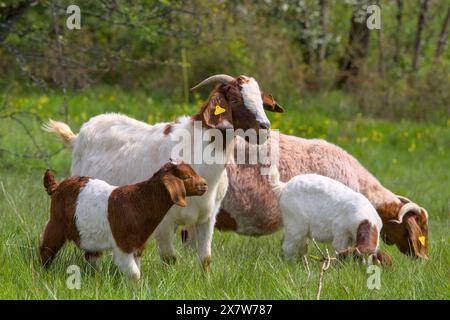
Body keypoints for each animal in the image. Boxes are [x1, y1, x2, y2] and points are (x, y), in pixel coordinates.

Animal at [44, 74, 284, 270]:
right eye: (234, 99)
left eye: (261, 101)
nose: (265, 128)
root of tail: (77, 136)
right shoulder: (164, 221)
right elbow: (170, 258)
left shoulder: (208, 216)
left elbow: (205, 258)